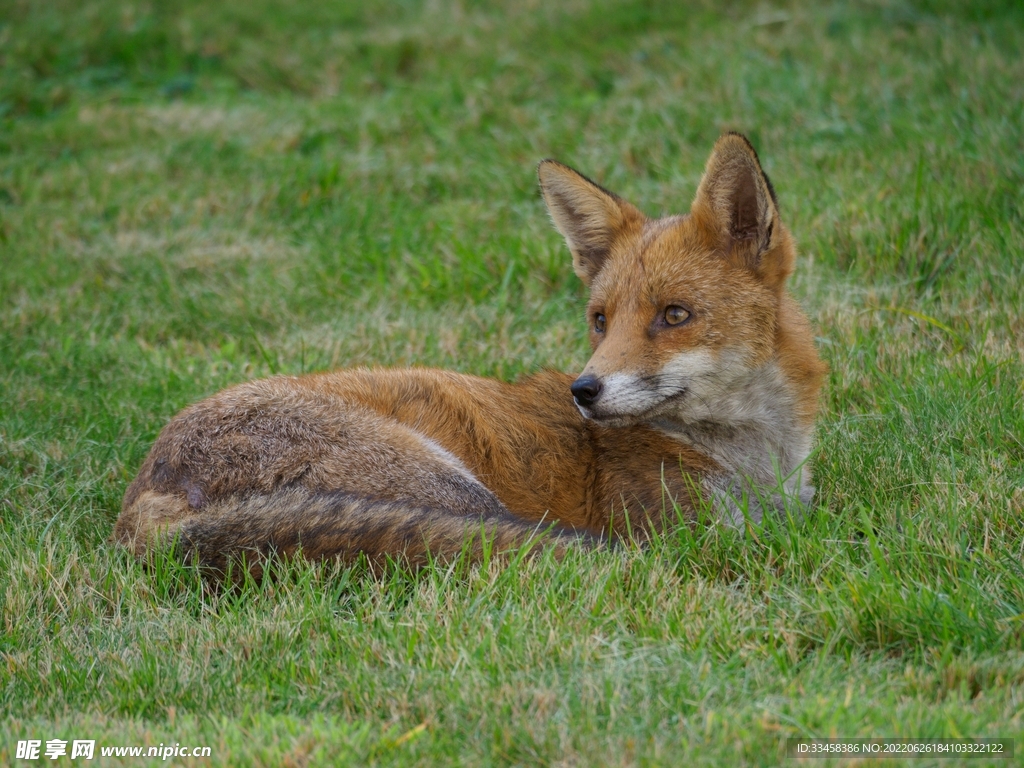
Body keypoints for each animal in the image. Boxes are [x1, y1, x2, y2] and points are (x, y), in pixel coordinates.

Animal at [116, 134, 827, 577]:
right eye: (600, 321)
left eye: (674, 316)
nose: (584, 391)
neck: (758, 466)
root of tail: (143, 500)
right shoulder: (698, 531)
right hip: (454, 491)